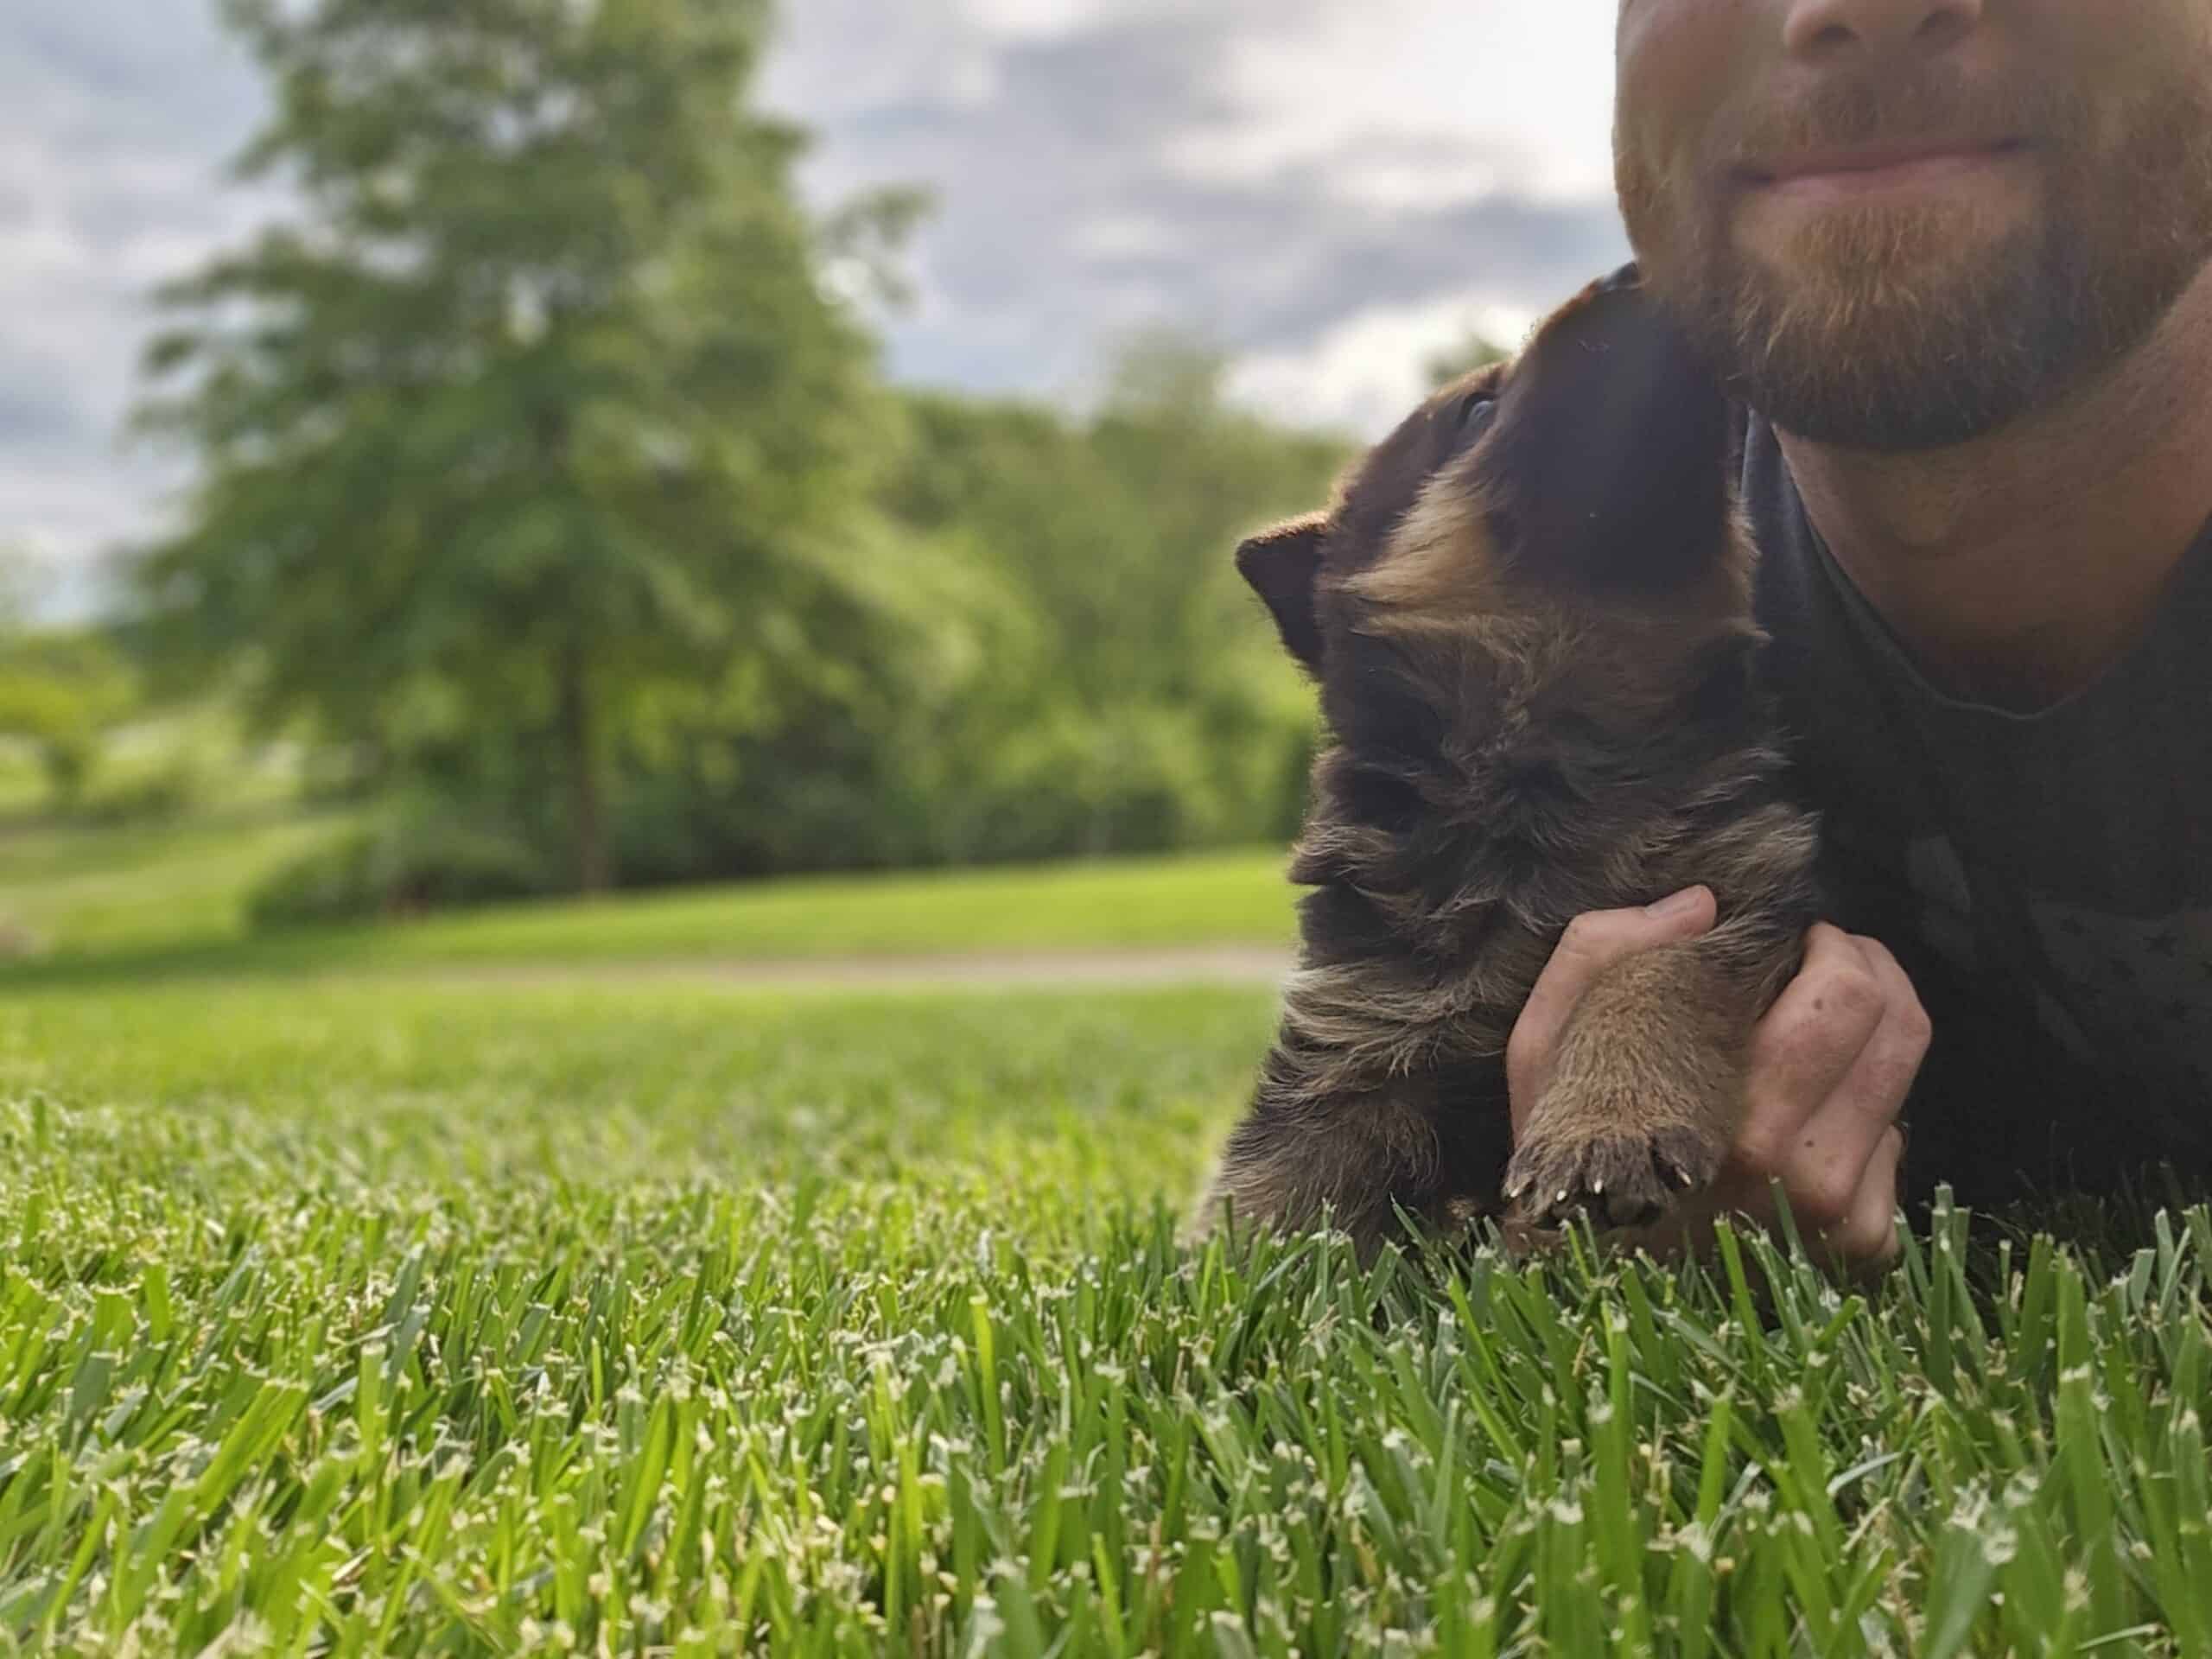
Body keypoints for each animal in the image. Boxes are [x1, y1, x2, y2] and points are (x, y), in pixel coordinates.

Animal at [1201, 268, 1824, 1260]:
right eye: (1479, 408)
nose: (1634, 272)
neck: (1546, 766)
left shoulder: (1751, 891)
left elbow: (1649, 969)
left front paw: (1607, 1121)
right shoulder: (1358, 1032)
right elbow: (1279, 1186)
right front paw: (1226, 1280)